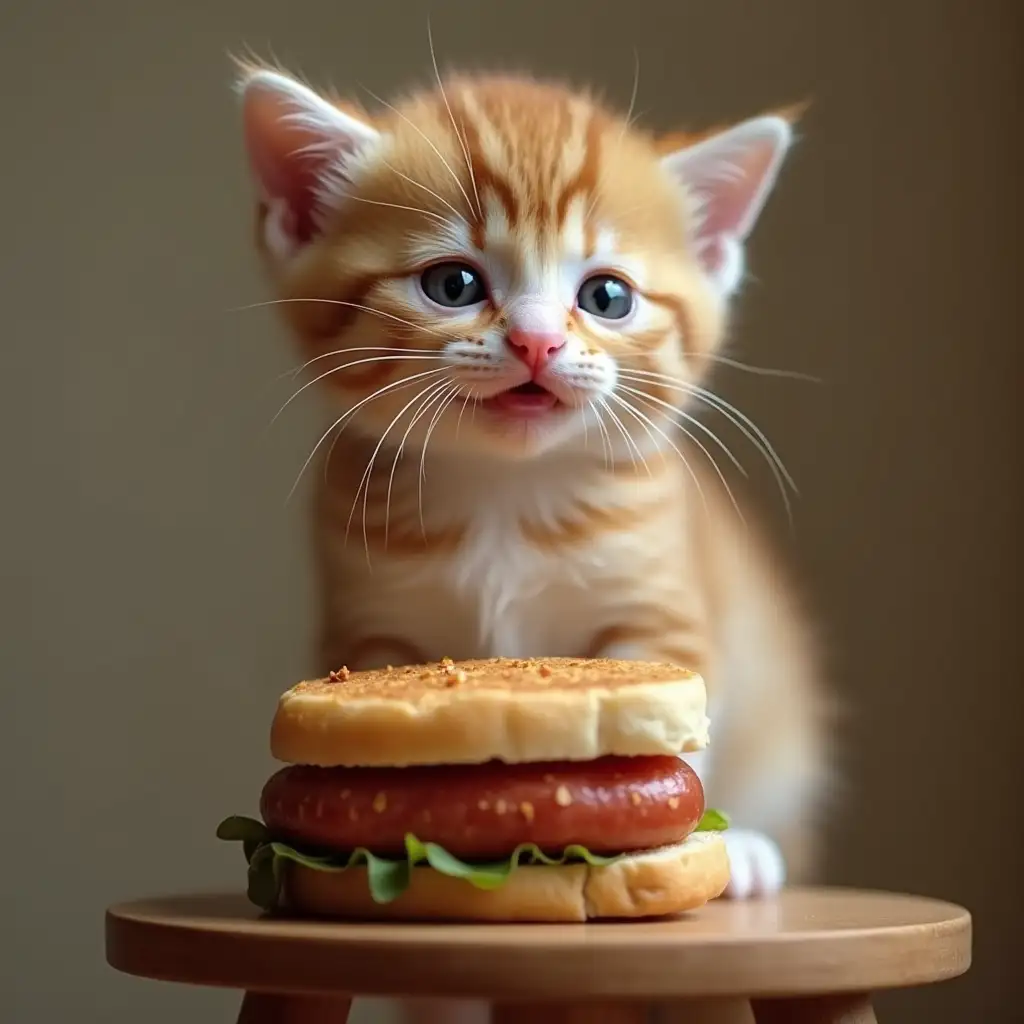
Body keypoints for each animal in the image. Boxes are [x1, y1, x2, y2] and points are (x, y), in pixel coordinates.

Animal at [235, 64, 827, 1024]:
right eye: (451, 284)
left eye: (607, 297)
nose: (538, 340)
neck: (506, 501)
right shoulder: (371, 622)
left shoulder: (655, 604)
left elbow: (679, 739)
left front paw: (721, 845)